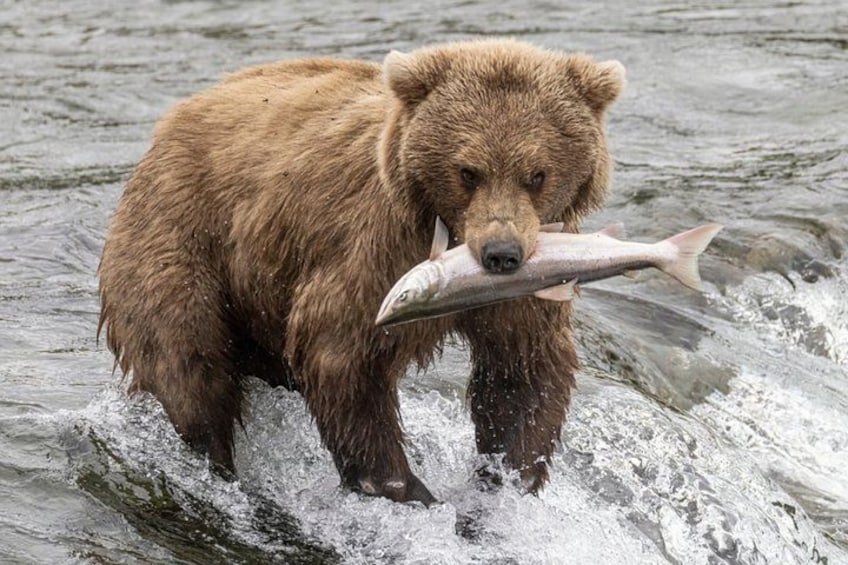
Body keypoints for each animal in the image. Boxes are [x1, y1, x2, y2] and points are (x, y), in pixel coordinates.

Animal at [98, 39, 625, 505]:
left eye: (536, 174)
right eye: (468, 171)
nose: (501, 254)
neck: (447, 229)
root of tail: (172, 120)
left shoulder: (535, 274)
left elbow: (521, 368)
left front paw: (506, 477)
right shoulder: (375, 248)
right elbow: (342, 352)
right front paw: (405, 487)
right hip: (183, 237)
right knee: (187, 359)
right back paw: (215, 463)